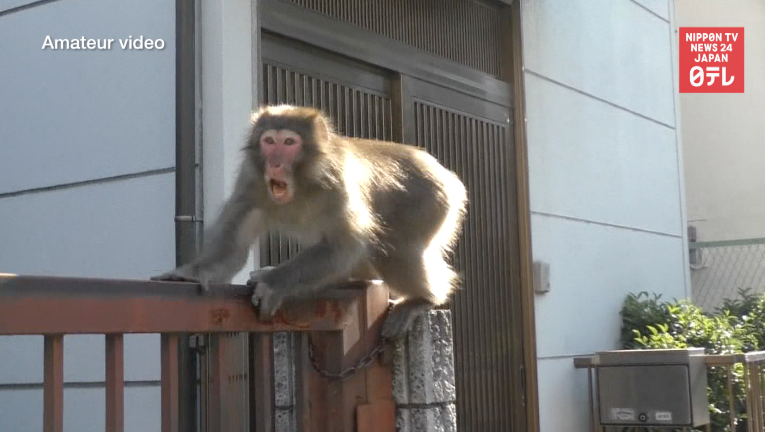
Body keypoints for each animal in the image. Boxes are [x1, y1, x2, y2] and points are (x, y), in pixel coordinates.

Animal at [152, 105, 467, 339]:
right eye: (269, 141)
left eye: (289, 142)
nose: (275, 163)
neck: (301, 185)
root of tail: (441, 171)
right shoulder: (250, 183)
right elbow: (232, 250)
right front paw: (190, 273)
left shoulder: (339, 184)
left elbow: (344, 245)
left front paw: (273, 283)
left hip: (430, 200)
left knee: (395, 247)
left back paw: (422, 299)